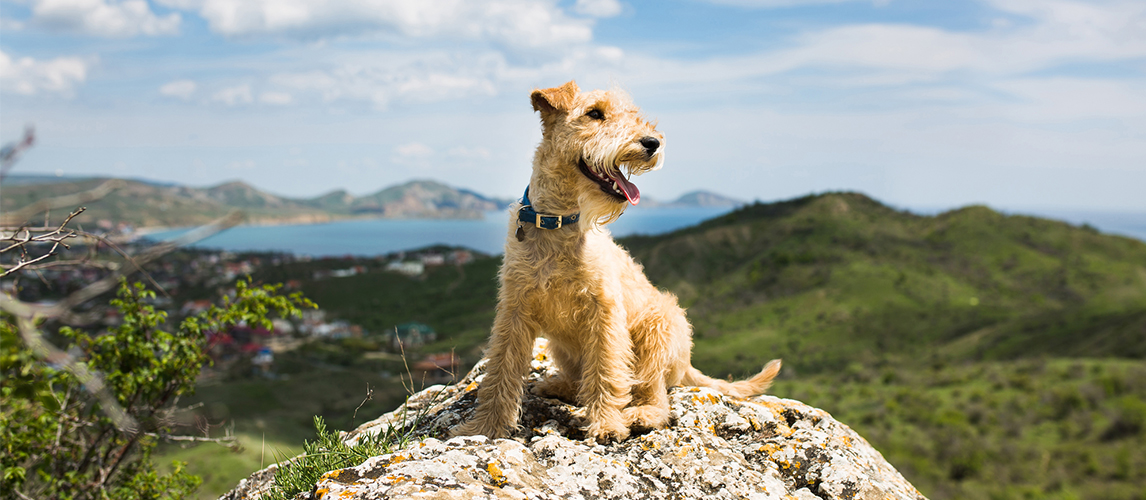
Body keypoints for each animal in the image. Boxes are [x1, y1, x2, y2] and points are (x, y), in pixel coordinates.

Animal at [446, 80, 779, 440]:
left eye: (632, 114)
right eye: (594, 113)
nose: (652, 142)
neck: (558, 223)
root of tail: (687, 363)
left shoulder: (603, 312)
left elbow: (605, 369)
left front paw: (606, 423)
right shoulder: (514, 311)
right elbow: (500, 372)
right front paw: (484, 427)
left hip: (658, 329)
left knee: (655, 395)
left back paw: (641, 414)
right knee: (581, 380)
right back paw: (557, 385)